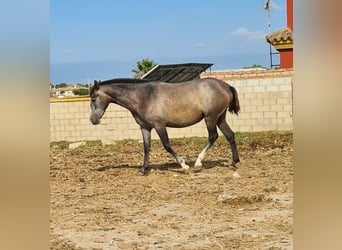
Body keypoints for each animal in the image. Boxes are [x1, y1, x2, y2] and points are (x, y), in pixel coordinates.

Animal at [91, 77, 240, 175]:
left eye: (93, 99)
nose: (93, 120)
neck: (143, 96)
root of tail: (227, 86)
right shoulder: (145, 127)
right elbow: (146, 147)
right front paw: (143, 169)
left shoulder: (159, 125)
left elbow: (167, 145)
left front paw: (183, 165)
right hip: (220, 118)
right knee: (230, 135)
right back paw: (233, 163)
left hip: (210, 118)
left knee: (213, 136)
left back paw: (198, 163)